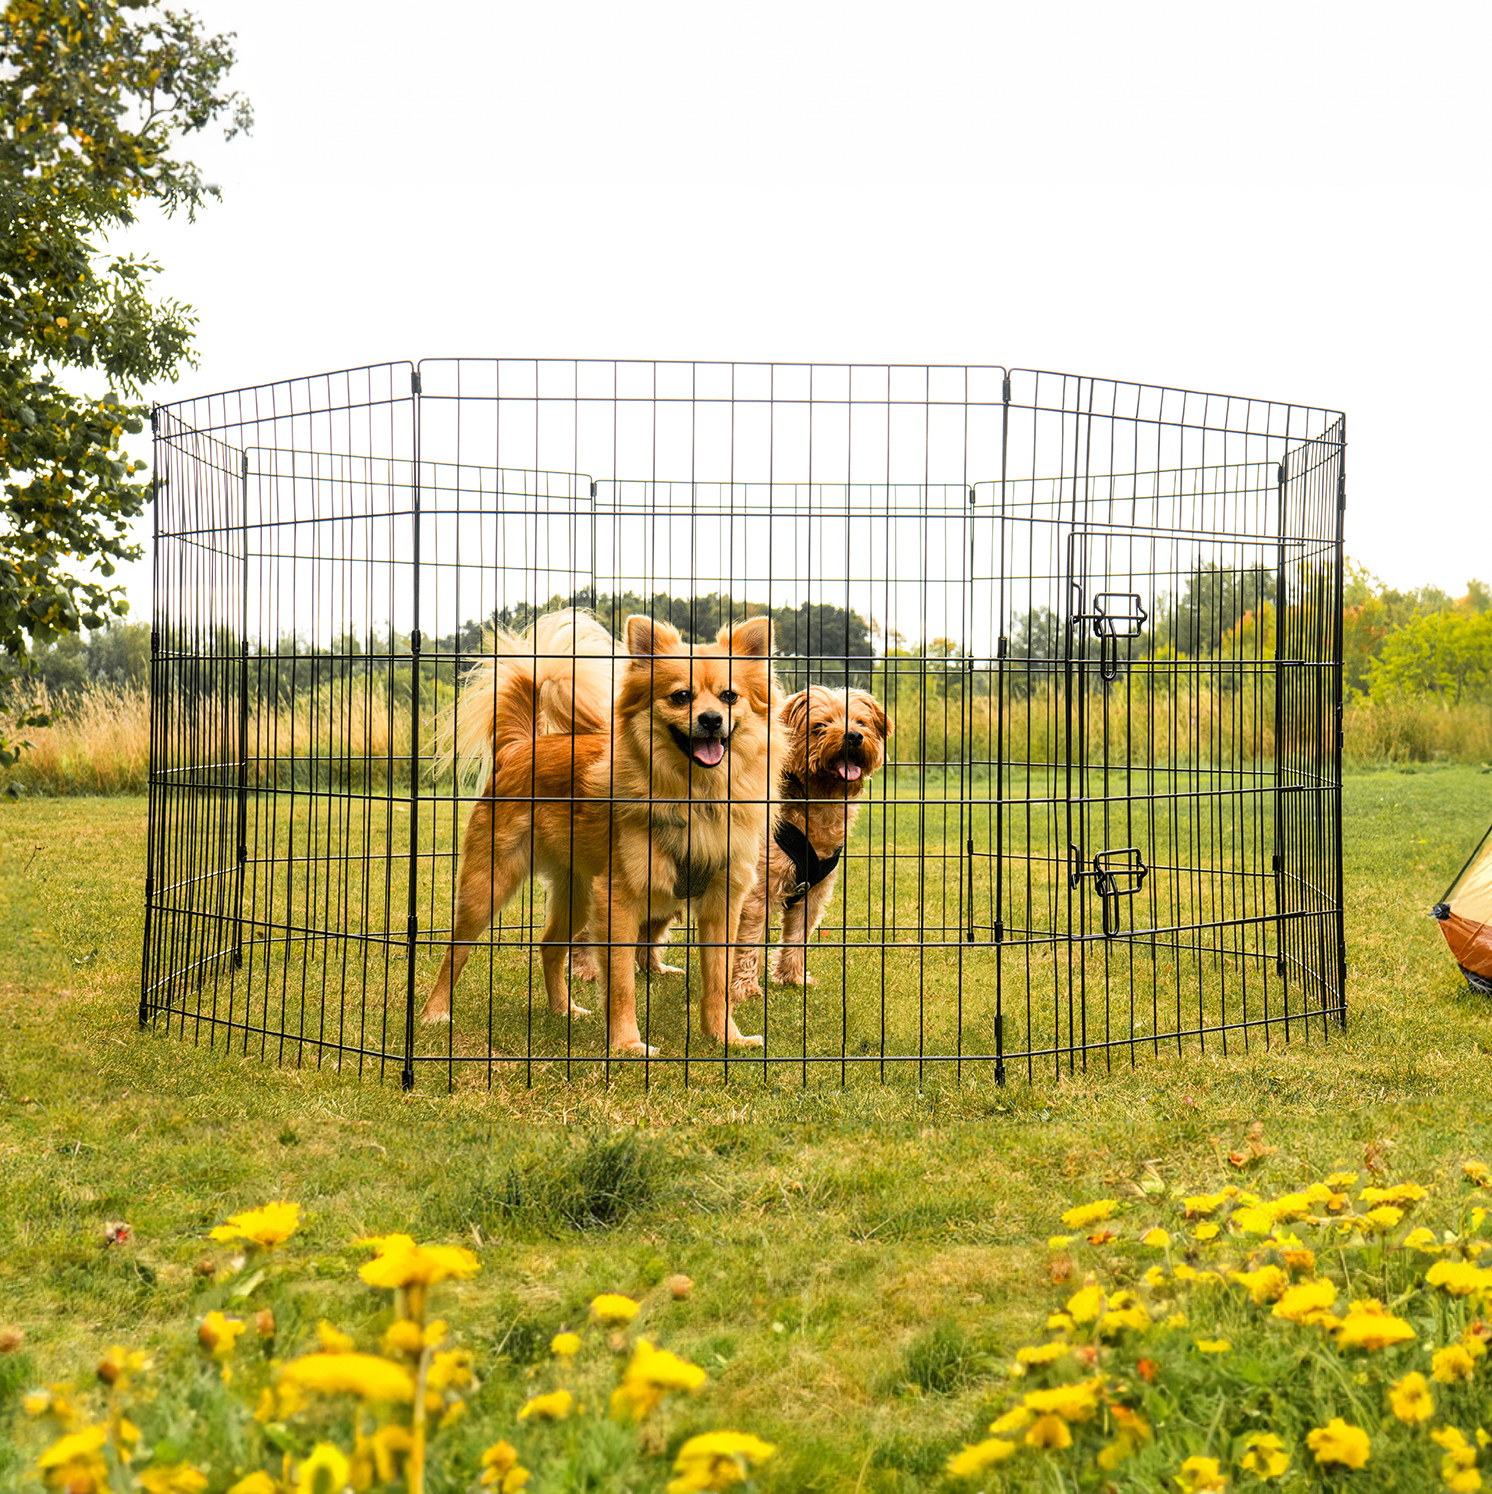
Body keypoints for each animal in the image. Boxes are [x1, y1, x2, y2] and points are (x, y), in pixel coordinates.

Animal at [415, 606, 776, 1051]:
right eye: (680, 696)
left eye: (729, 696)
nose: (711, 719)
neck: (695, 796)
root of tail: (519, 747)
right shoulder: (618, 901)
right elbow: (621, 982)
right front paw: (626, 1045)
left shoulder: (722, 904)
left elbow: (719, 982)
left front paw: (725, 1038)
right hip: (489, 885)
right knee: (456, 949)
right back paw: (435, 1013)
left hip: (577, 894)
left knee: (550, 947)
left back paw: (563, 1010)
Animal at [731, 684, 890, 997]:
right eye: (820, 726)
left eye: (861, 723)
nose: (854, 736)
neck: (819, 804)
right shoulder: (757, 893)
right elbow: (749, 940)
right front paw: (745, 988)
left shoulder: (813, 893)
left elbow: (797, 936)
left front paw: (792, 977)